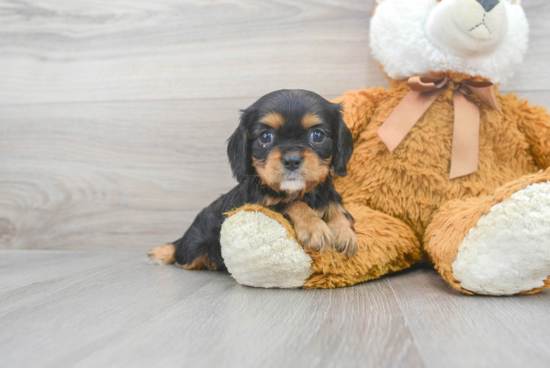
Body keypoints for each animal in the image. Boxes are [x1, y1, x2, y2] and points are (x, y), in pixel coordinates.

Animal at [149, 89, 360, 270]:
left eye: (317, 135)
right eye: (266, 137)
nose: (292, 160)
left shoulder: (329, 195)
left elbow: (338, 209)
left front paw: (344, 233)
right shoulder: (257, 205)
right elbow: (291, 203)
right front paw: (314, 227)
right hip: (194, 248)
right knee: (180, 251)